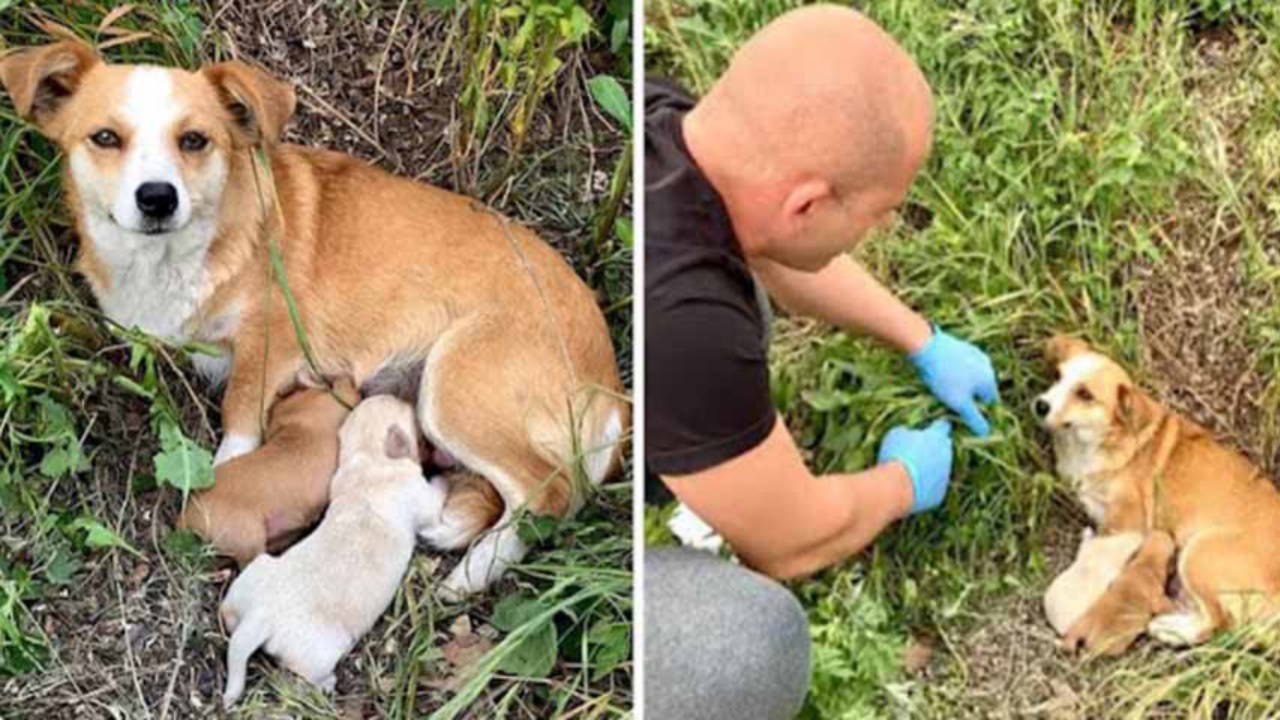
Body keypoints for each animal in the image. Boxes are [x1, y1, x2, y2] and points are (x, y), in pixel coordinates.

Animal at [217, 392, 442, 702]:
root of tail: (259, 617)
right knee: (308, 673)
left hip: (254, 572)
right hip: (324, 651)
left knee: (229, 610)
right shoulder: (422, 499)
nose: (398, 394)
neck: (369, 458)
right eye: (411, 420)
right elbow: (436, 503)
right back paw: (327, 683)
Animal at [1034, 333, 1280, 648]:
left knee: (1219, 624)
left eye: (1085, 394)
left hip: (1199, 554)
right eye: (1057, 376)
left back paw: (1171, 630)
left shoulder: (1127, 518)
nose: (1040, 405)